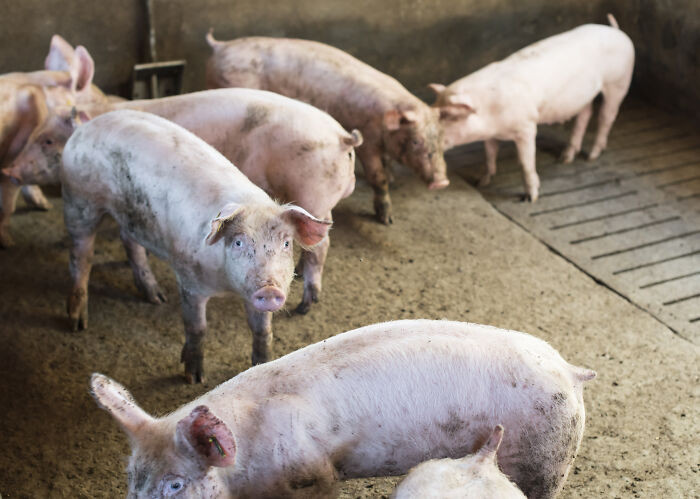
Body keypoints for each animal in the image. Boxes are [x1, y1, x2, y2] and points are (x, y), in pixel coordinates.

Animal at [4, 88, 361, 314]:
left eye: (47, 140)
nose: (8, 170)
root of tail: (343, 136)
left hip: (312, 193)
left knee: (321, 247)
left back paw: (305, 306)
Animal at [62, 110, 331, 383]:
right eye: (238, 242)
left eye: (286, 243)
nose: (269, 288)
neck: (226, 285)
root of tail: (86, 126)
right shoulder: (189, 280)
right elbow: (197, 328)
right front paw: (194, 377)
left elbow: (262, 330)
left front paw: (261, 364)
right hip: (79, 200)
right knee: (80, 256)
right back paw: (77, 323)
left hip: (131, 215)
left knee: (129, 242)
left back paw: (156, 297)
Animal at [205, 31, 449, 225]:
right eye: (416, 141)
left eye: (441, 140)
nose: (442, 182)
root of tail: (221, 46)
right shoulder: (367, 141)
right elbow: (377, 176)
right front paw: (387, 220)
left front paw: (393, 179)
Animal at [429, 15, 634, 201]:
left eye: (447, 115)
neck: (492, 116)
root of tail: (617, 31)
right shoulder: (490, 134)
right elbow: (489, 155)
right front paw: (482, 182)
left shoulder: (526, 127)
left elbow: (525, 164)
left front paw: (530, 198)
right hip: (585, 96)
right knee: (585, 114)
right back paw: (566, 158)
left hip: (619, 82)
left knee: (606, 117)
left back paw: (591, 156)